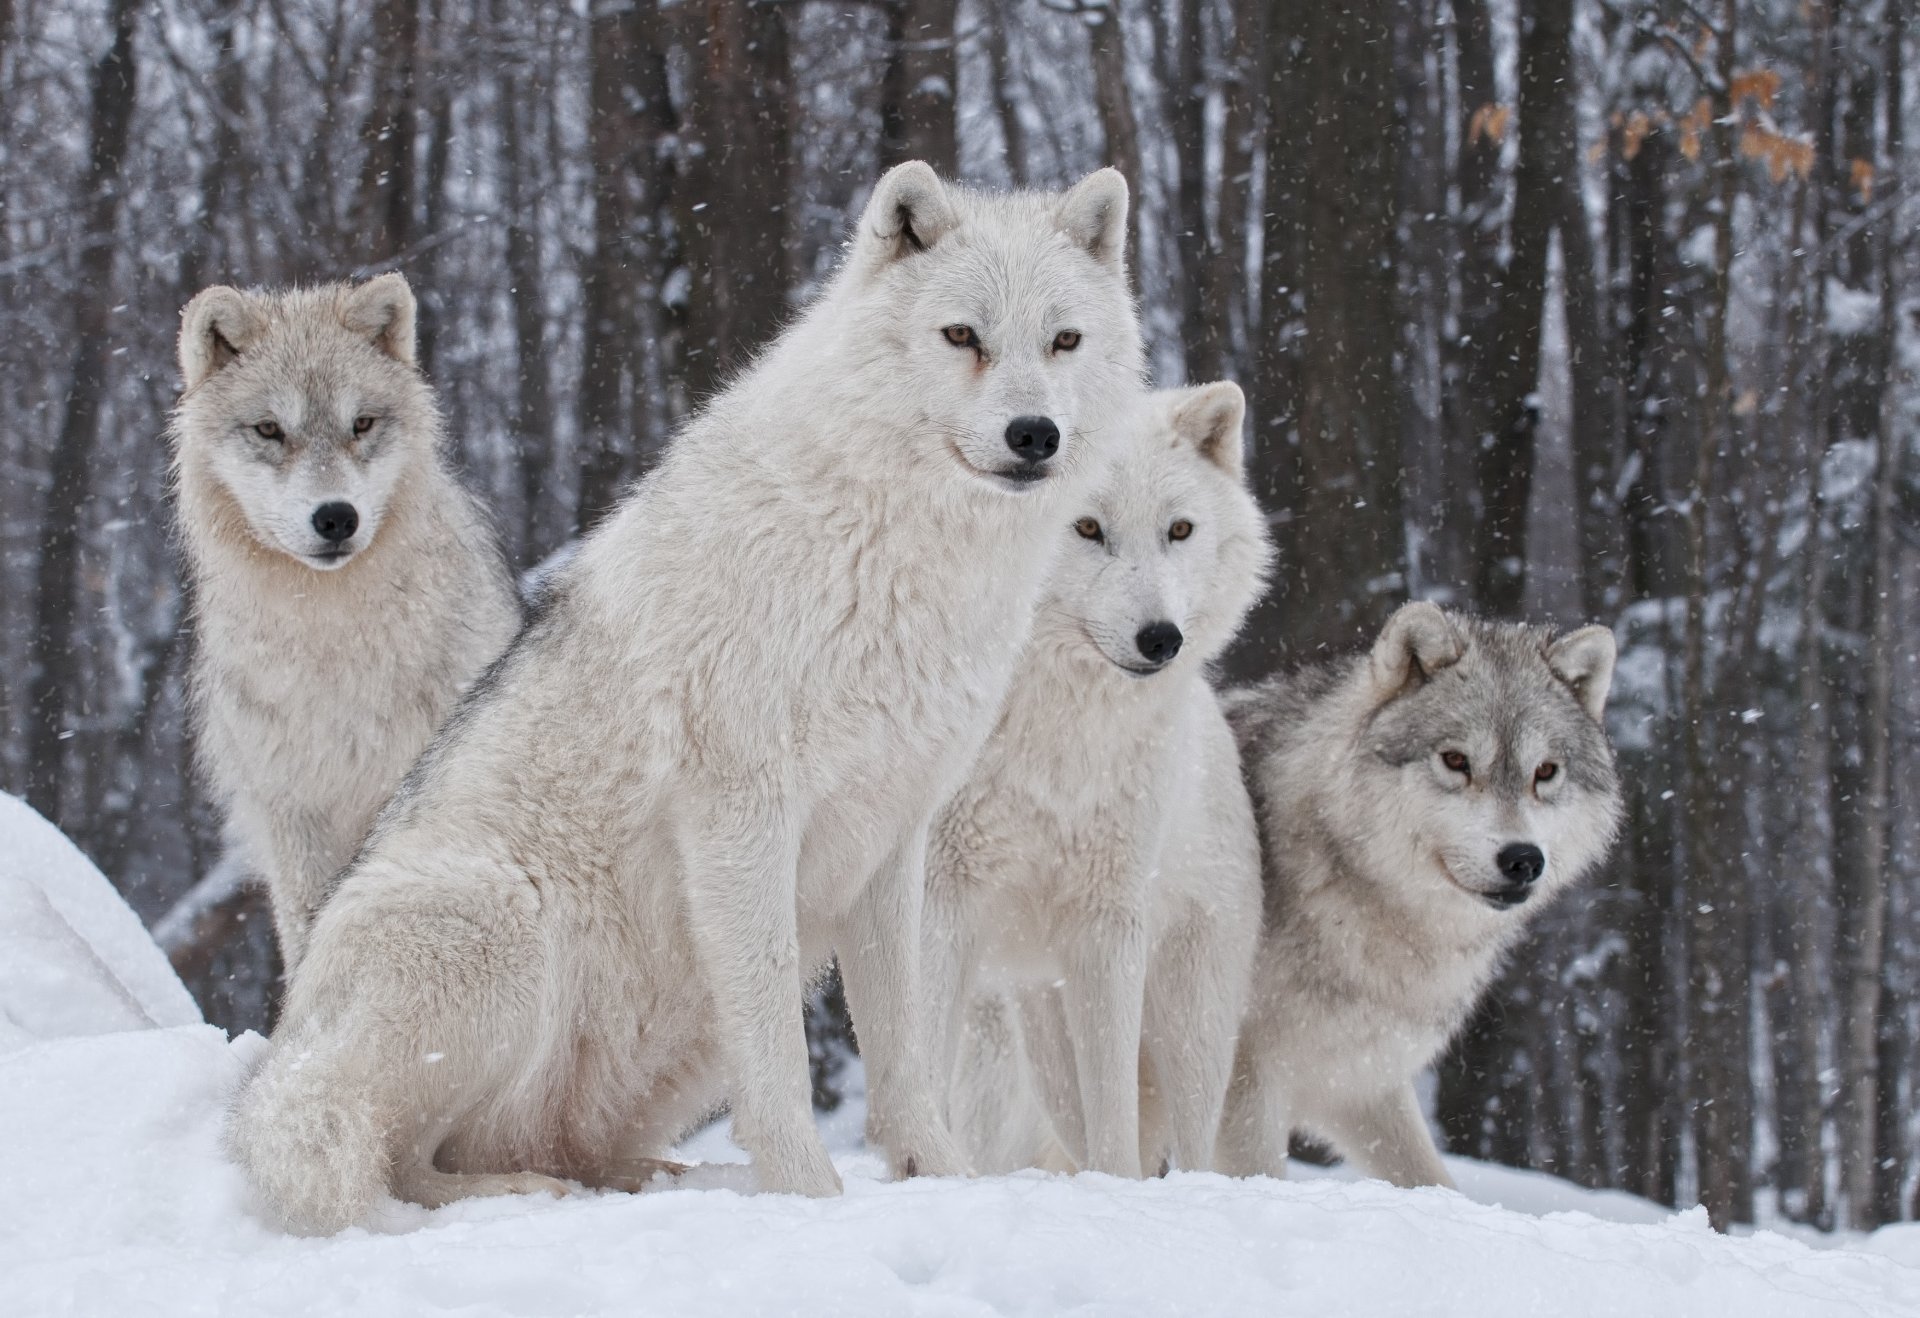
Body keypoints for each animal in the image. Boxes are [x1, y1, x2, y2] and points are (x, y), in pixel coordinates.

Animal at [227, 162, 1148, 1233]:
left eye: (1063, 341)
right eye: (963, 336)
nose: (1034, 434)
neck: (892, 552)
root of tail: (283, 1056)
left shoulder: (893, 835)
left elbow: (905, 1049)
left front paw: (943, 1179)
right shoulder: (741, 816)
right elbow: (779, 1053)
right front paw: (808, 1197)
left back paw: (653, 1179)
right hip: (501, 922)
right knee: (396, 1160)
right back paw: (526, 1193)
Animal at [926, 382, 1272, 1178]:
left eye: (1179, 529)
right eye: (1084, 526)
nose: (1162, 639)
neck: (1053, 734)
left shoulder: (1109, 924)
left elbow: (1114, 1115)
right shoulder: (939, 901)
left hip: (1189, 1024)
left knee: (1189, 1145)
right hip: (1040, 1039)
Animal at [1215, 602, 1622, 1188]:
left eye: (1545, 772)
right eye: (1455, 761)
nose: (1522, 859)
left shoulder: (1361, 1081)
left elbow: (1432, 1180)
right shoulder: (1242, 1080)